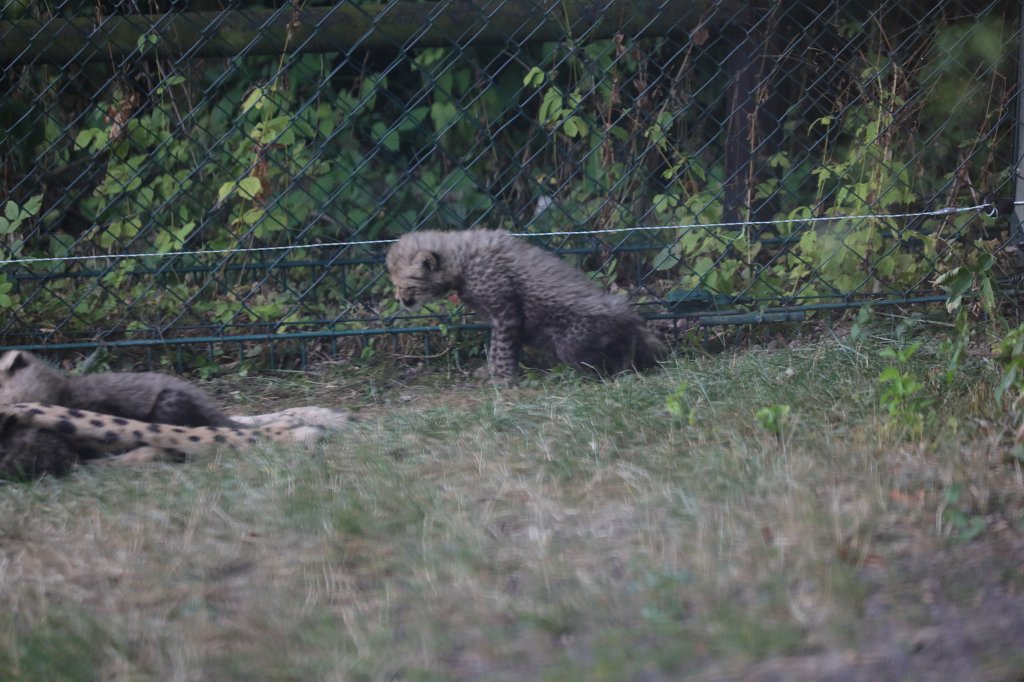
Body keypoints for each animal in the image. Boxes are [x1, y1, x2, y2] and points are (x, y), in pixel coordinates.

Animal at [386, 228, 665, 383]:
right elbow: (497, 349)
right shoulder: (503, 319)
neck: (462, 259)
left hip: (572, 341)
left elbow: (501, 349)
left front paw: (502, 378)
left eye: (407, 285)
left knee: (607, 353)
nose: (402, 300)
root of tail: (623, 311)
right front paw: (492, 373)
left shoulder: (506, 315)